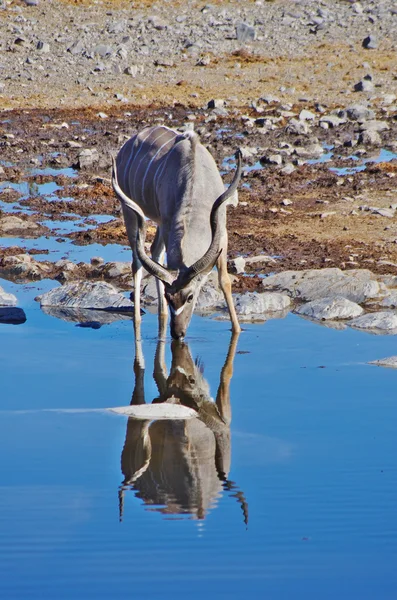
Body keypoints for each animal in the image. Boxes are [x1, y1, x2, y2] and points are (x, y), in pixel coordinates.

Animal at [111, 124, 241, 340]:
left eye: (190, 297)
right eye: (168, 296)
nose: (177, 333)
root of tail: (128, 144)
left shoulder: (222, 233)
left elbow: (225, 281)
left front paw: (237, 329)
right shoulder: (167, 223)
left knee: (154, 252)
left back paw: (162, 315)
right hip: (129, 210)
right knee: (137, 263)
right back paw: (138, 321)